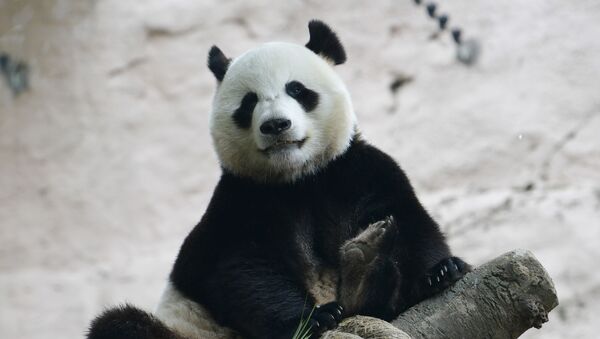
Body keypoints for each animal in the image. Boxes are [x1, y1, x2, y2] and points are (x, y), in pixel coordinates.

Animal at [89, 20, 472, 339]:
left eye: (297, 90)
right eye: (248, 102)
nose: (275, 125)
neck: (298, 178)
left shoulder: (357, 171)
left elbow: (409, 221)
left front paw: (441, 271)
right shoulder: (242, 199)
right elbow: (245, 271)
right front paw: (314, 318)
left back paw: (365, 265)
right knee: (120, 325)